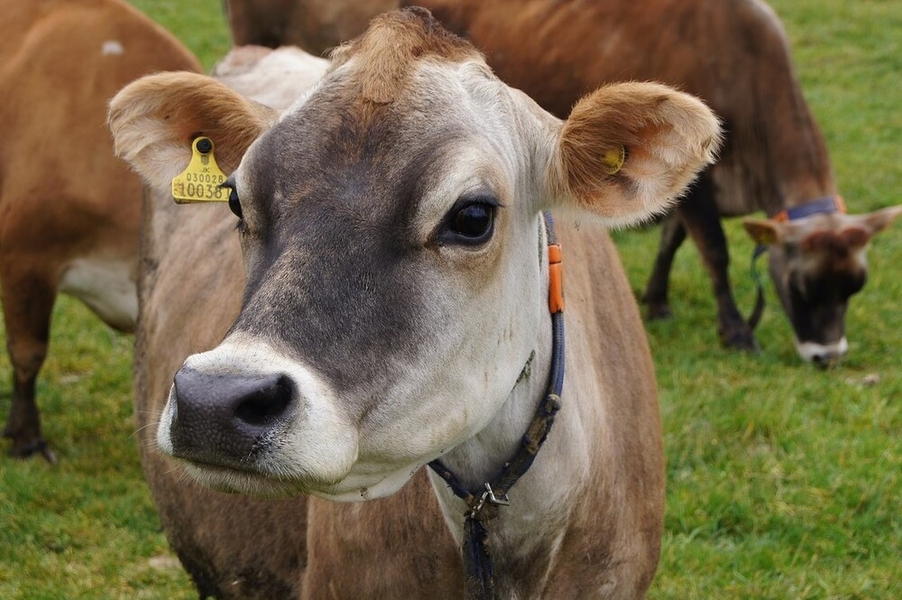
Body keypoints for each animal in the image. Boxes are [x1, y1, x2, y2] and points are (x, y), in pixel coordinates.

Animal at [222, 0, 902, 364]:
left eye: (854, 286)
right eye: (805, 285)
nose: (828, 358)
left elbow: (671, 238)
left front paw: (656, 299)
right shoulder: (706, 186)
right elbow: (713, 250)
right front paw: (737, 331)